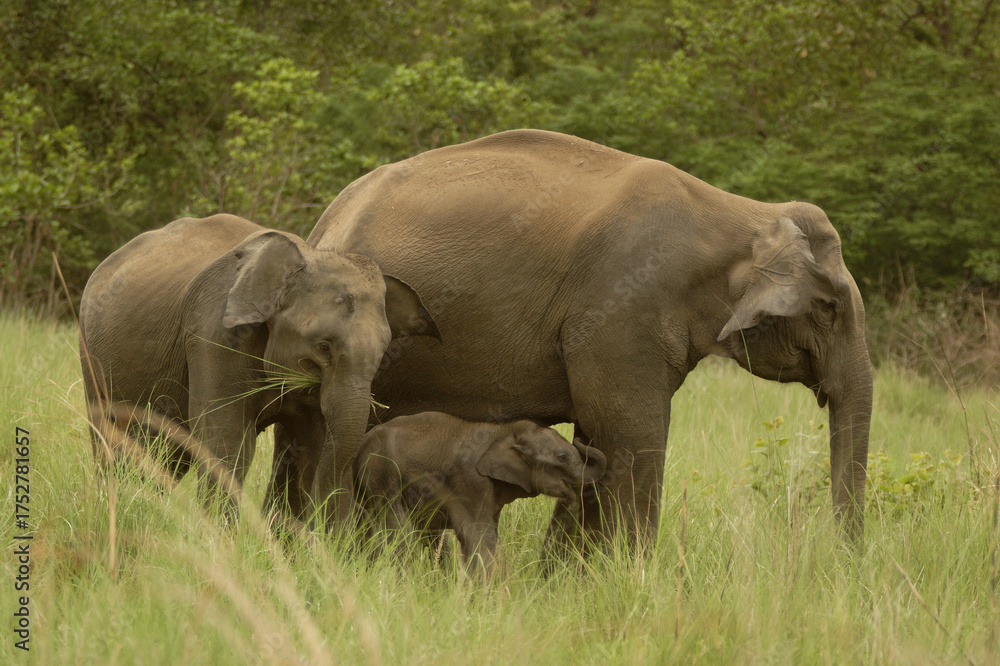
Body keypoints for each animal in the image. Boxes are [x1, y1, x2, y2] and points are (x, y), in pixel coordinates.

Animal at [79, 214, 439, 525]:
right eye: (323, 346)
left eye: (382, 354)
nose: (334, 535)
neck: (303, 256)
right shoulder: (214, 333)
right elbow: (227, 439)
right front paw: (222, 540)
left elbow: (310, 443)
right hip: (91, 358)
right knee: (114, 441)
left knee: (166, 452)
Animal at [304, 129, 874, 549]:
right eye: (830, 308)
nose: (838, 558)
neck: (738, 213)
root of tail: (324, 222)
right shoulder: (623, 308)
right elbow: (628, 436)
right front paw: (635, 577)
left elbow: (596, 435)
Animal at [352, 412, 607, 568]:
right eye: (562, 458)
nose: (581, 437)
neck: (503, 432)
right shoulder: (471, 481)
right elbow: (479, 537)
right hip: (381, 473)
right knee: (399, 531)